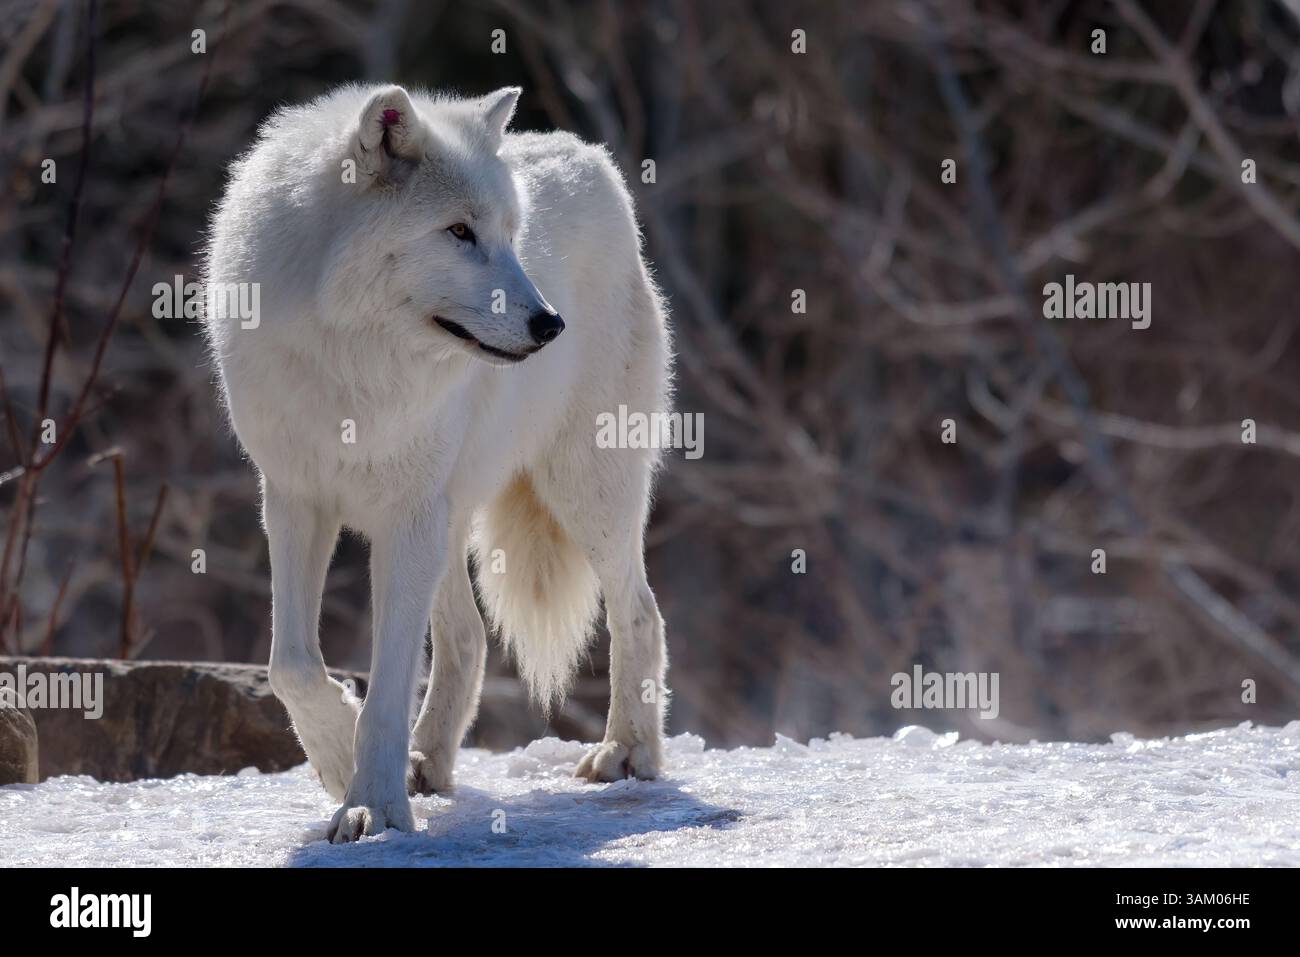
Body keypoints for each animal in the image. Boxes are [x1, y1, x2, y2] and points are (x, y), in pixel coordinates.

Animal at [203, 84, 672, 843]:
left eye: (511, 234)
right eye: (458, 232)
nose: (549, 324)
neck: (354, 359)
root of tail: (589, 156)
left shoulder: (405, 517)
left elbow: (388, 684)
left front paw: (372, 804)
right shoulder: (295, 498)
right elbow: (291, 665)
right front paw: (340, 760)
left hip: (584, 492)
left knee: (640, 612)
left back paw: (628, 752)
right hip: (454, 519)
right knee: (470, 637)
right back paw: (427, 761)